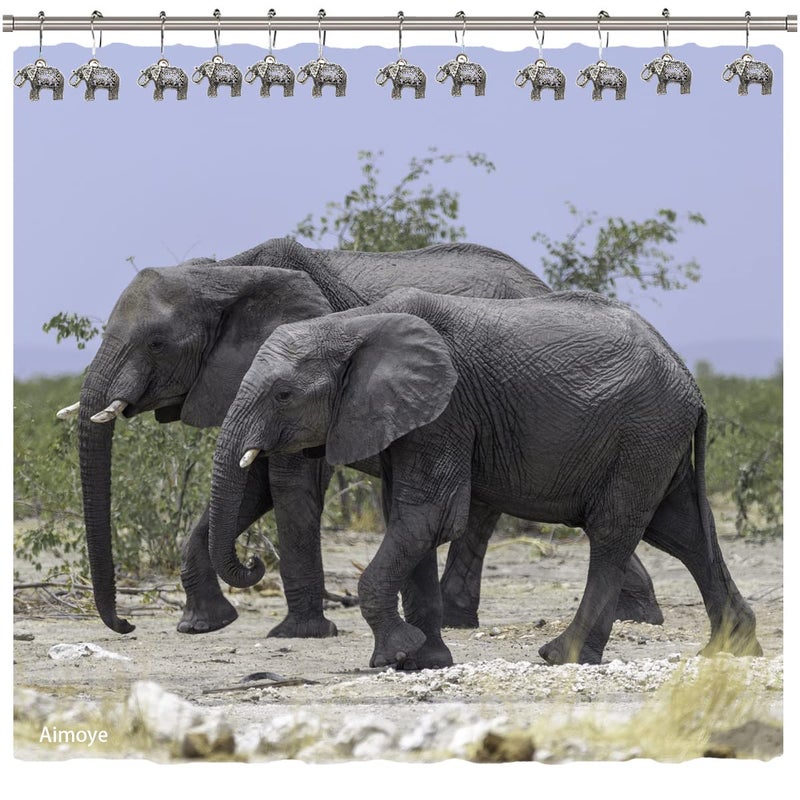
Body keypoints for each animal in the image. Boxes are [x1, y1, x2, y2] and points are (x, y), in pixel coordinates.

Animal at [62, 237, 662, 638]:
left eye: (157, 343)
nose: (126, 627)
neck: (224, 272)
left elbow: (289, 484)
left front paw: (300, 633)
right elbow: (250, 484)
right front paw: (202, 626)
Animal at [209, 288, 762, 669]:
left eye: (282, 395)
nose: (254, 562)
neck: (352, 325)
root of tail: (690, 380)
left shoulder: (446, 411)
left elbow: (427, 518)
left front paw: (395, 655)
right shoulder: (406, 420)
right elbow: (407, 522)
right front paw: (424, 661)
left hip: (642, 434)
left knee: (613, 533)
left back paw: (561, 655)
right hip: (655, 441)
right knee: (682, 532)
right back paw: (730, 650)